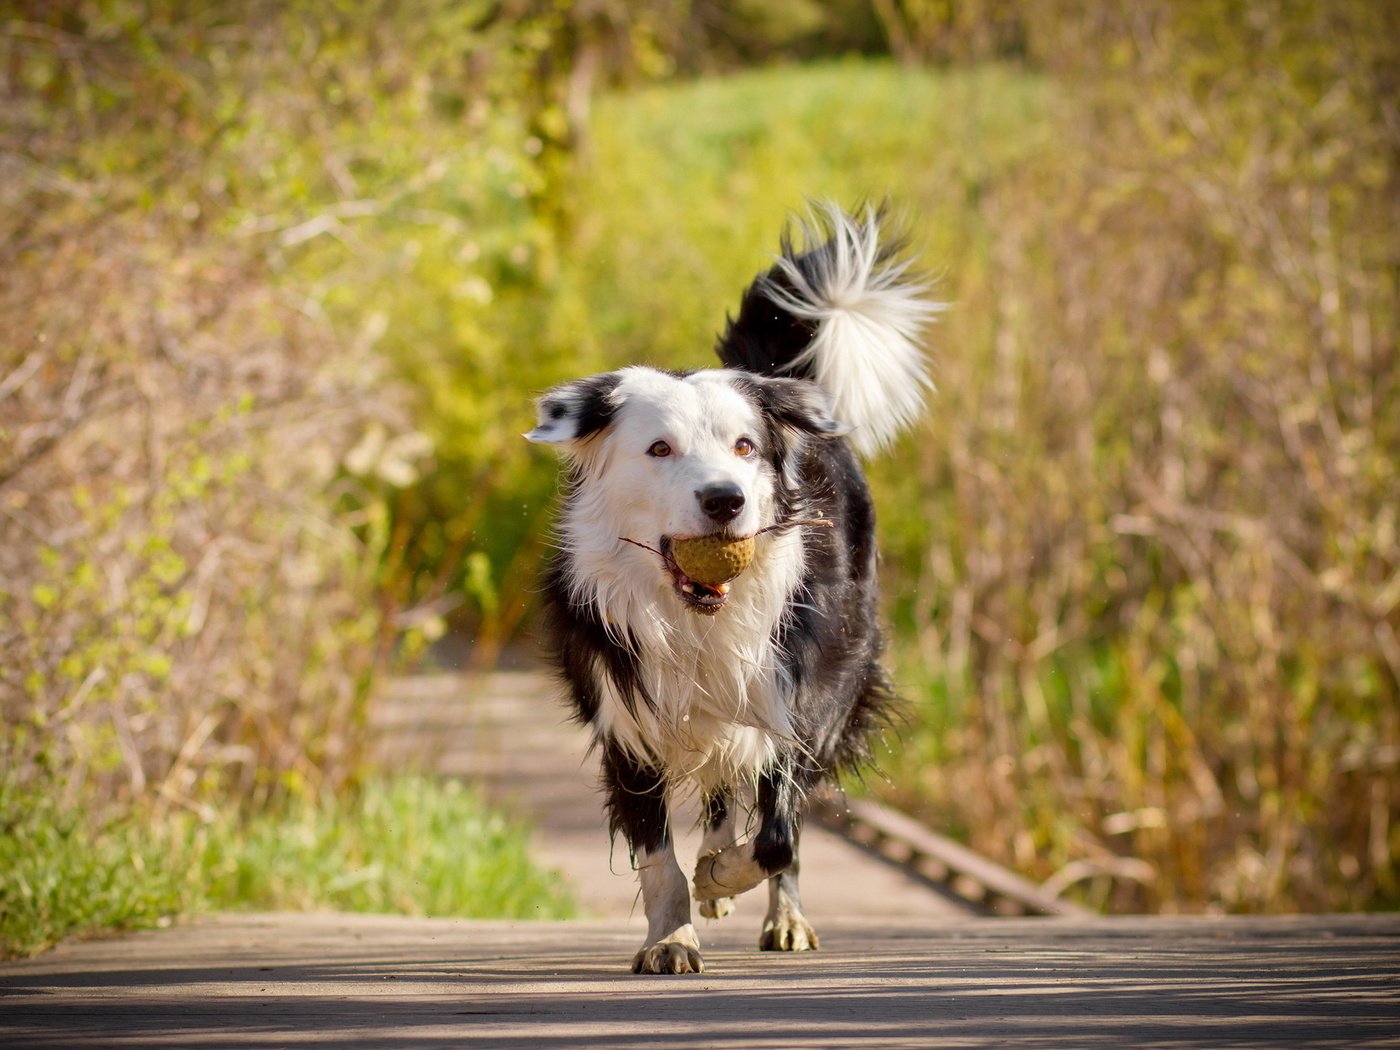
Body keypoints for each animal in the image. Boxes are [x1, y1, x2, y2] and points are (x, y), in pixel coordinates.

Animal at [526, 201, 940, 974]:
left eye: (746, 447)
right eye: (659, 448)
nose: (725, 500)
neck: (696, 617)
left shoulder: (802, 697)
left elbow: (780, 833)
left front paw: (723, 878)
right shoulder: (627, 714)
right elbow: (659, 855)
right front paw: (671, 936)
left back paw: (779, 914)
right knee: (721, 788)